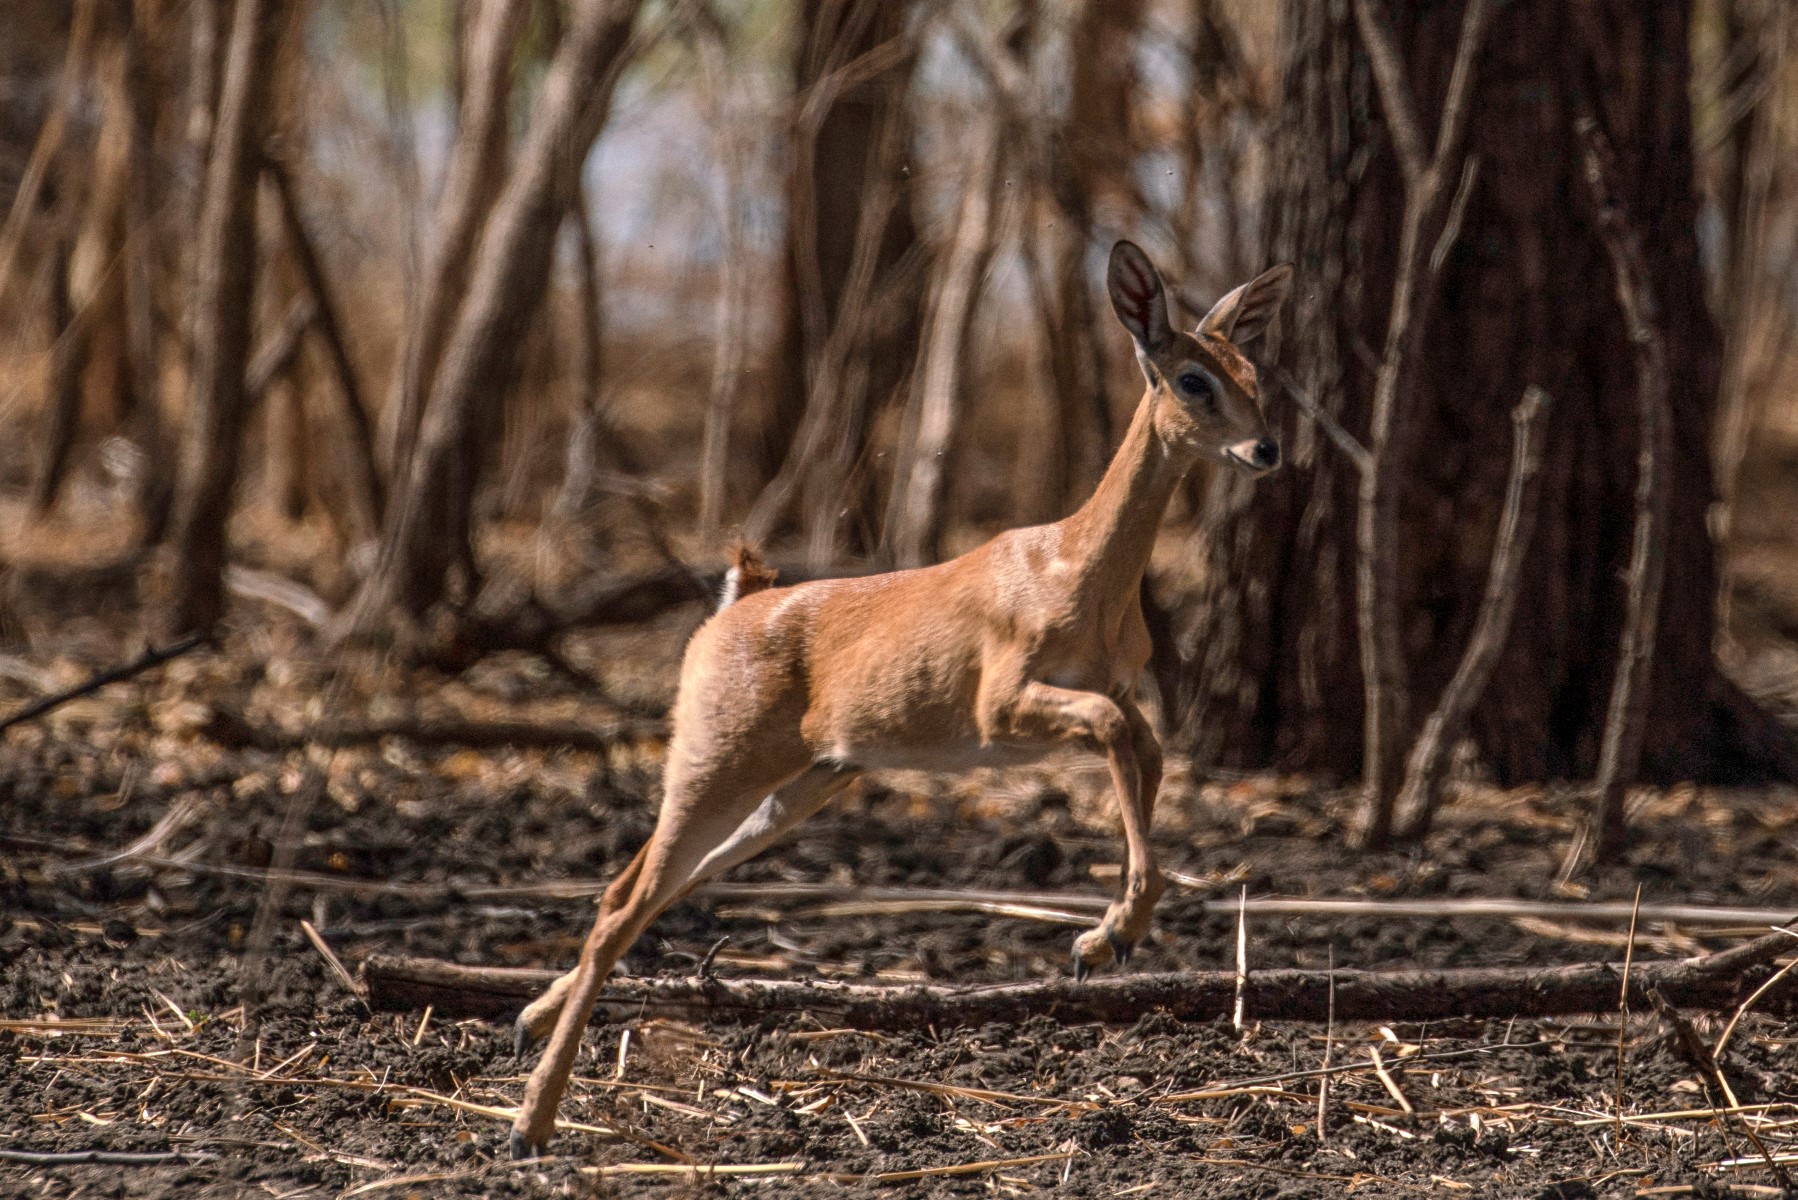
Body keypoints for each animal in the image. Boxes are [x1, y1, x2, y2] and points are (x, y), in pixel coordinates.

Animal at [510, 241, 1294, 1151]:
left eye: (1254, 371)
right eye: (1192, 378)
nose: (1267, 449)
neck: (1077, 568)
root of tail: (740, 601)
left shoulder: (1123, 699)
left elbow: (1146, 753)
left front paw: (1101, 943)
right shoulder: (1006, 709)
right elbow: (1109, 732)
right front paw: (1105, 941)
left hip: (801, 787)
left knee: (647, 889)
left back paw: (527, 1030)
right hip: (715, 766)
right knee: (622, 902)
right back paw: (529, 1125)